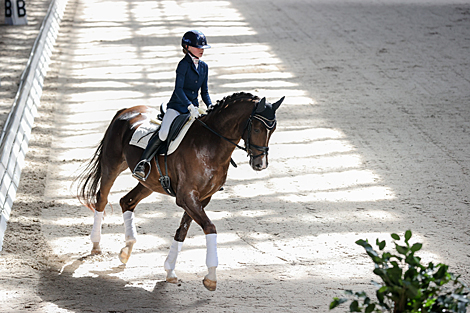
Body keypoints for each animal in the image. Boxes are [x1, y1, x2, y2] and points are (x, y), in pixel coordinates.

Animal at [75, 92, 284, 290]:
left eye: (273, 129)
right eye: (256, 128)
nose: (260, 164)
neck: (210, 144)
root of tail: (126, 110)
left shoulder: (202, 198)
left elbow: (182, 231)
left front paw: (170, 270)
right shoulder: (187, 197)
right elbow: (210, 227)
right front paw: (211, 277)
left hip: (149, 182)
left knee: (127, 201)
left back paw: (127, 249)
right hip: (112, 165)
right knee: (102, 199)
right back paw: (96, 245)